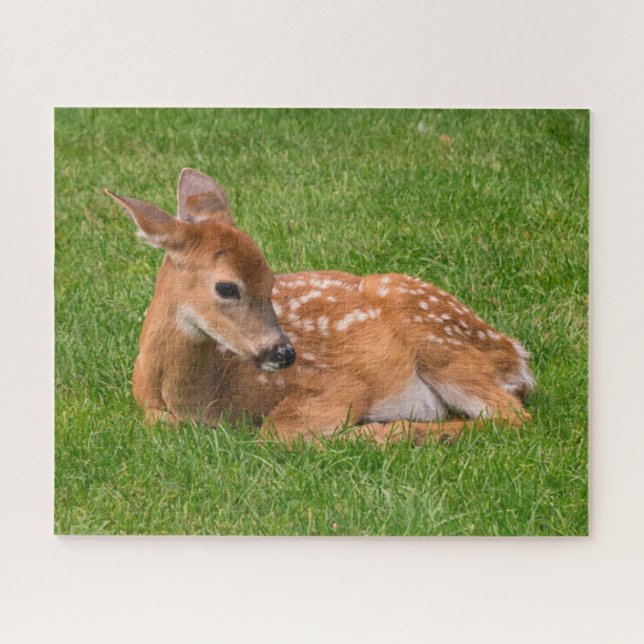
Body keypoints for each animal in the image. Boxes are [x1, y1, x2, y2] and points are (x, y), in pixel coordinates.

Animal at [105, 169, 534, 445]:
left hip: (438, 341)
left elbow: (275, 432)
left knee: (513, 415)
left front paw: (367, 430)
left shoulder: (339, 383)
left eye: (271, 279)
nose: (284, 353)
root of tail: (515, 354)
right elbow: (160, 423)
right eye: (226, 287)